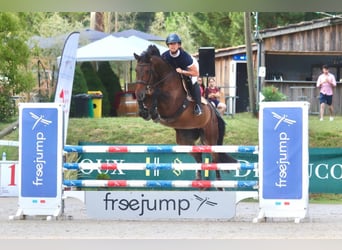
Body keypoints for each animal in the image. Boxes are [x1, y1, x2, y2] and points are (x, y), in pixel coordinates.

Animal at [134, 45, 238, 188]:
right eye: (136, 70)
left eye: (148, 71)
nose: (138, 93)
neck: (164, 80)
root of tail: (214, 112)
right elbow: (149, 97)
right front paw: (144, 111)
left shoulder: (170, 103)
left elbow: (156, 93)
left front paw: (153, 113)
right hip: (185, 139)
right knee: (199, 155)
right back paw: (199, 181)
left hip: (210, 136)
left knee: (215, 157)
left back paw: (219, 184)